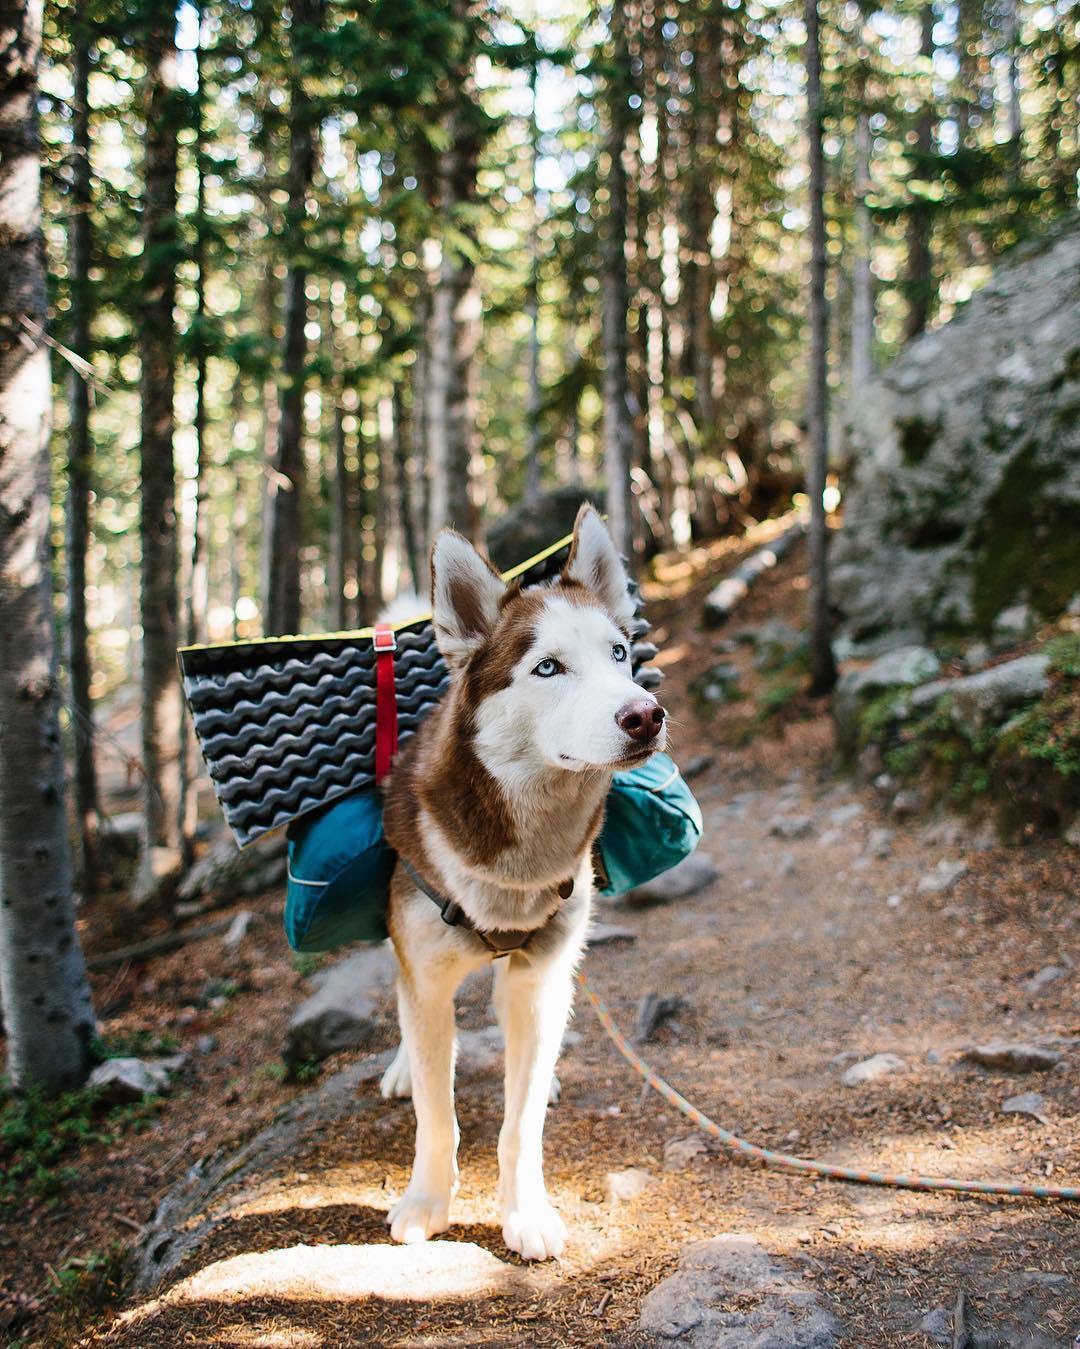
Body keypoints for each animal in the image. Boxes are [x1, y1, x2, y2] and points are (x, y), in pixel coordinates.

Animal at [380, 501, 666, 1257]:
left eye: (619, 653)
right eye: (547, 667)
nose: (645, 715)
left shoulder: (539, 976)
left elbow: (521, 1122)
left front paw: (526, 1211)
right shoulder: (426, 978)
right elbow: (437, 1113)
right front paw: (426, 1201)